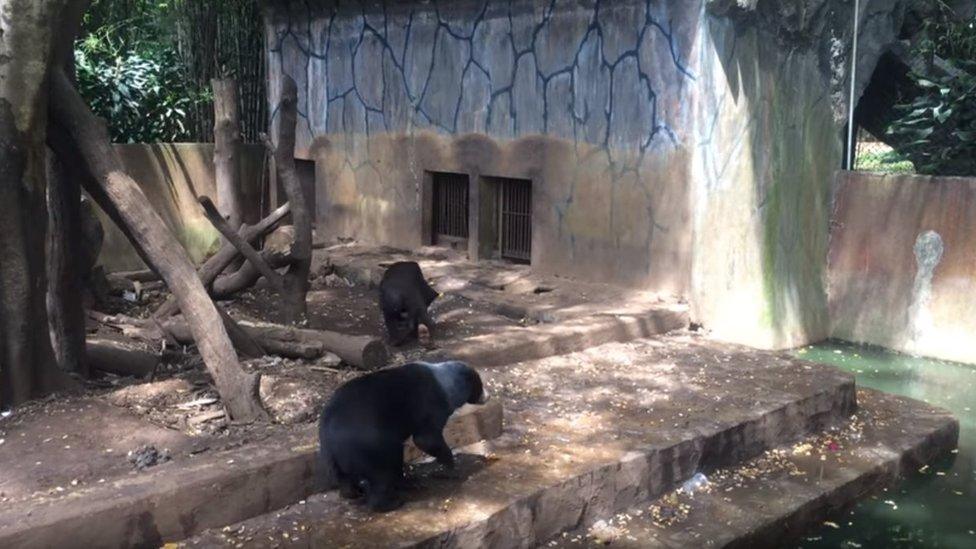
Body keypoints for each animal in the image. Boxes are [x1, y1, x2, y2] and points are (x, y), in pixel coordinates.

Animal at [318, 360, 488, 510]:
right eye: (480, 385)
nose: (488, 396)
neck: (445, 383)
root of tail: (328, 438)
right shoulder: (433, 406)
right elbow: (426, 439)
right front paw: (451, 468)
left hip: (338, 460)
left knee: (349, 481)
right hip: (369, 448)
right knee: (382, 474)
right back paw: (393, 502)